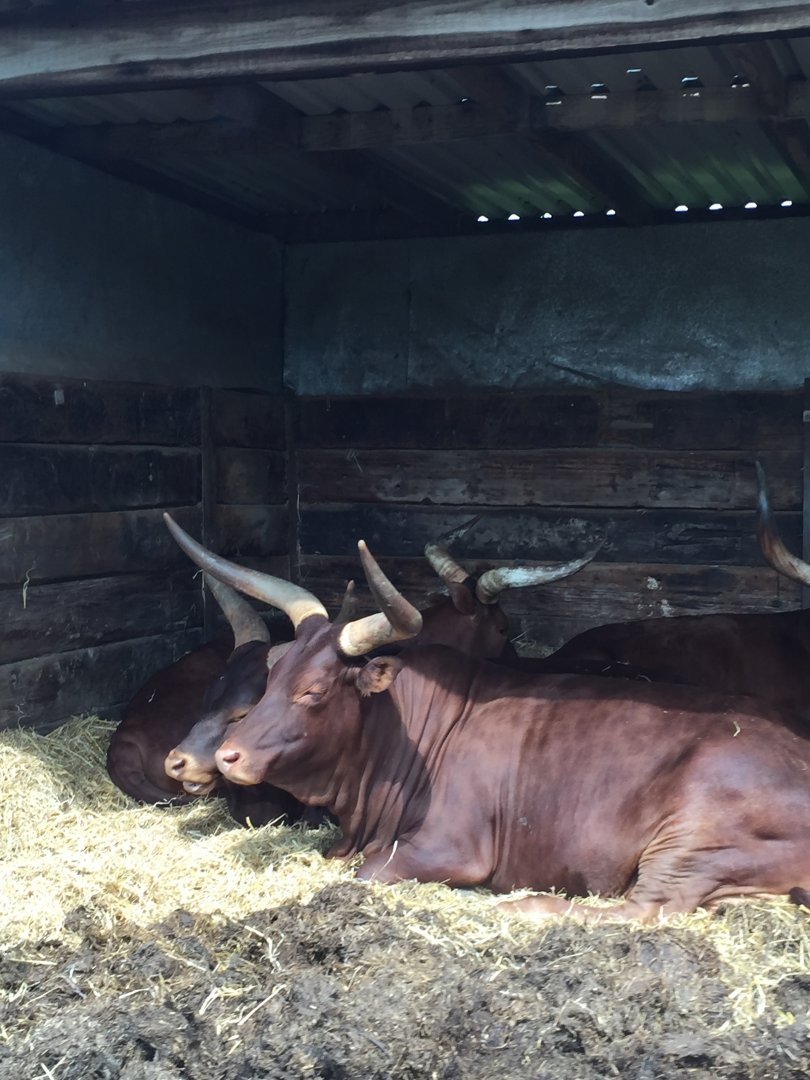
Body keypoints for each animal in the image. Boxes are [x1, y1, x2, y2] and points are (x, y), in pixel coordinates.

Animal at [166, 530, 810, 922]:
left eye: (314, 691)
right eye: (270, 678)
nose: (227, 757)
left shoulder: (448, 847)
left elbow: (368, 873)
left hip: (691, 841)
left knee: (645, 910)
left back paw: (524, 908)